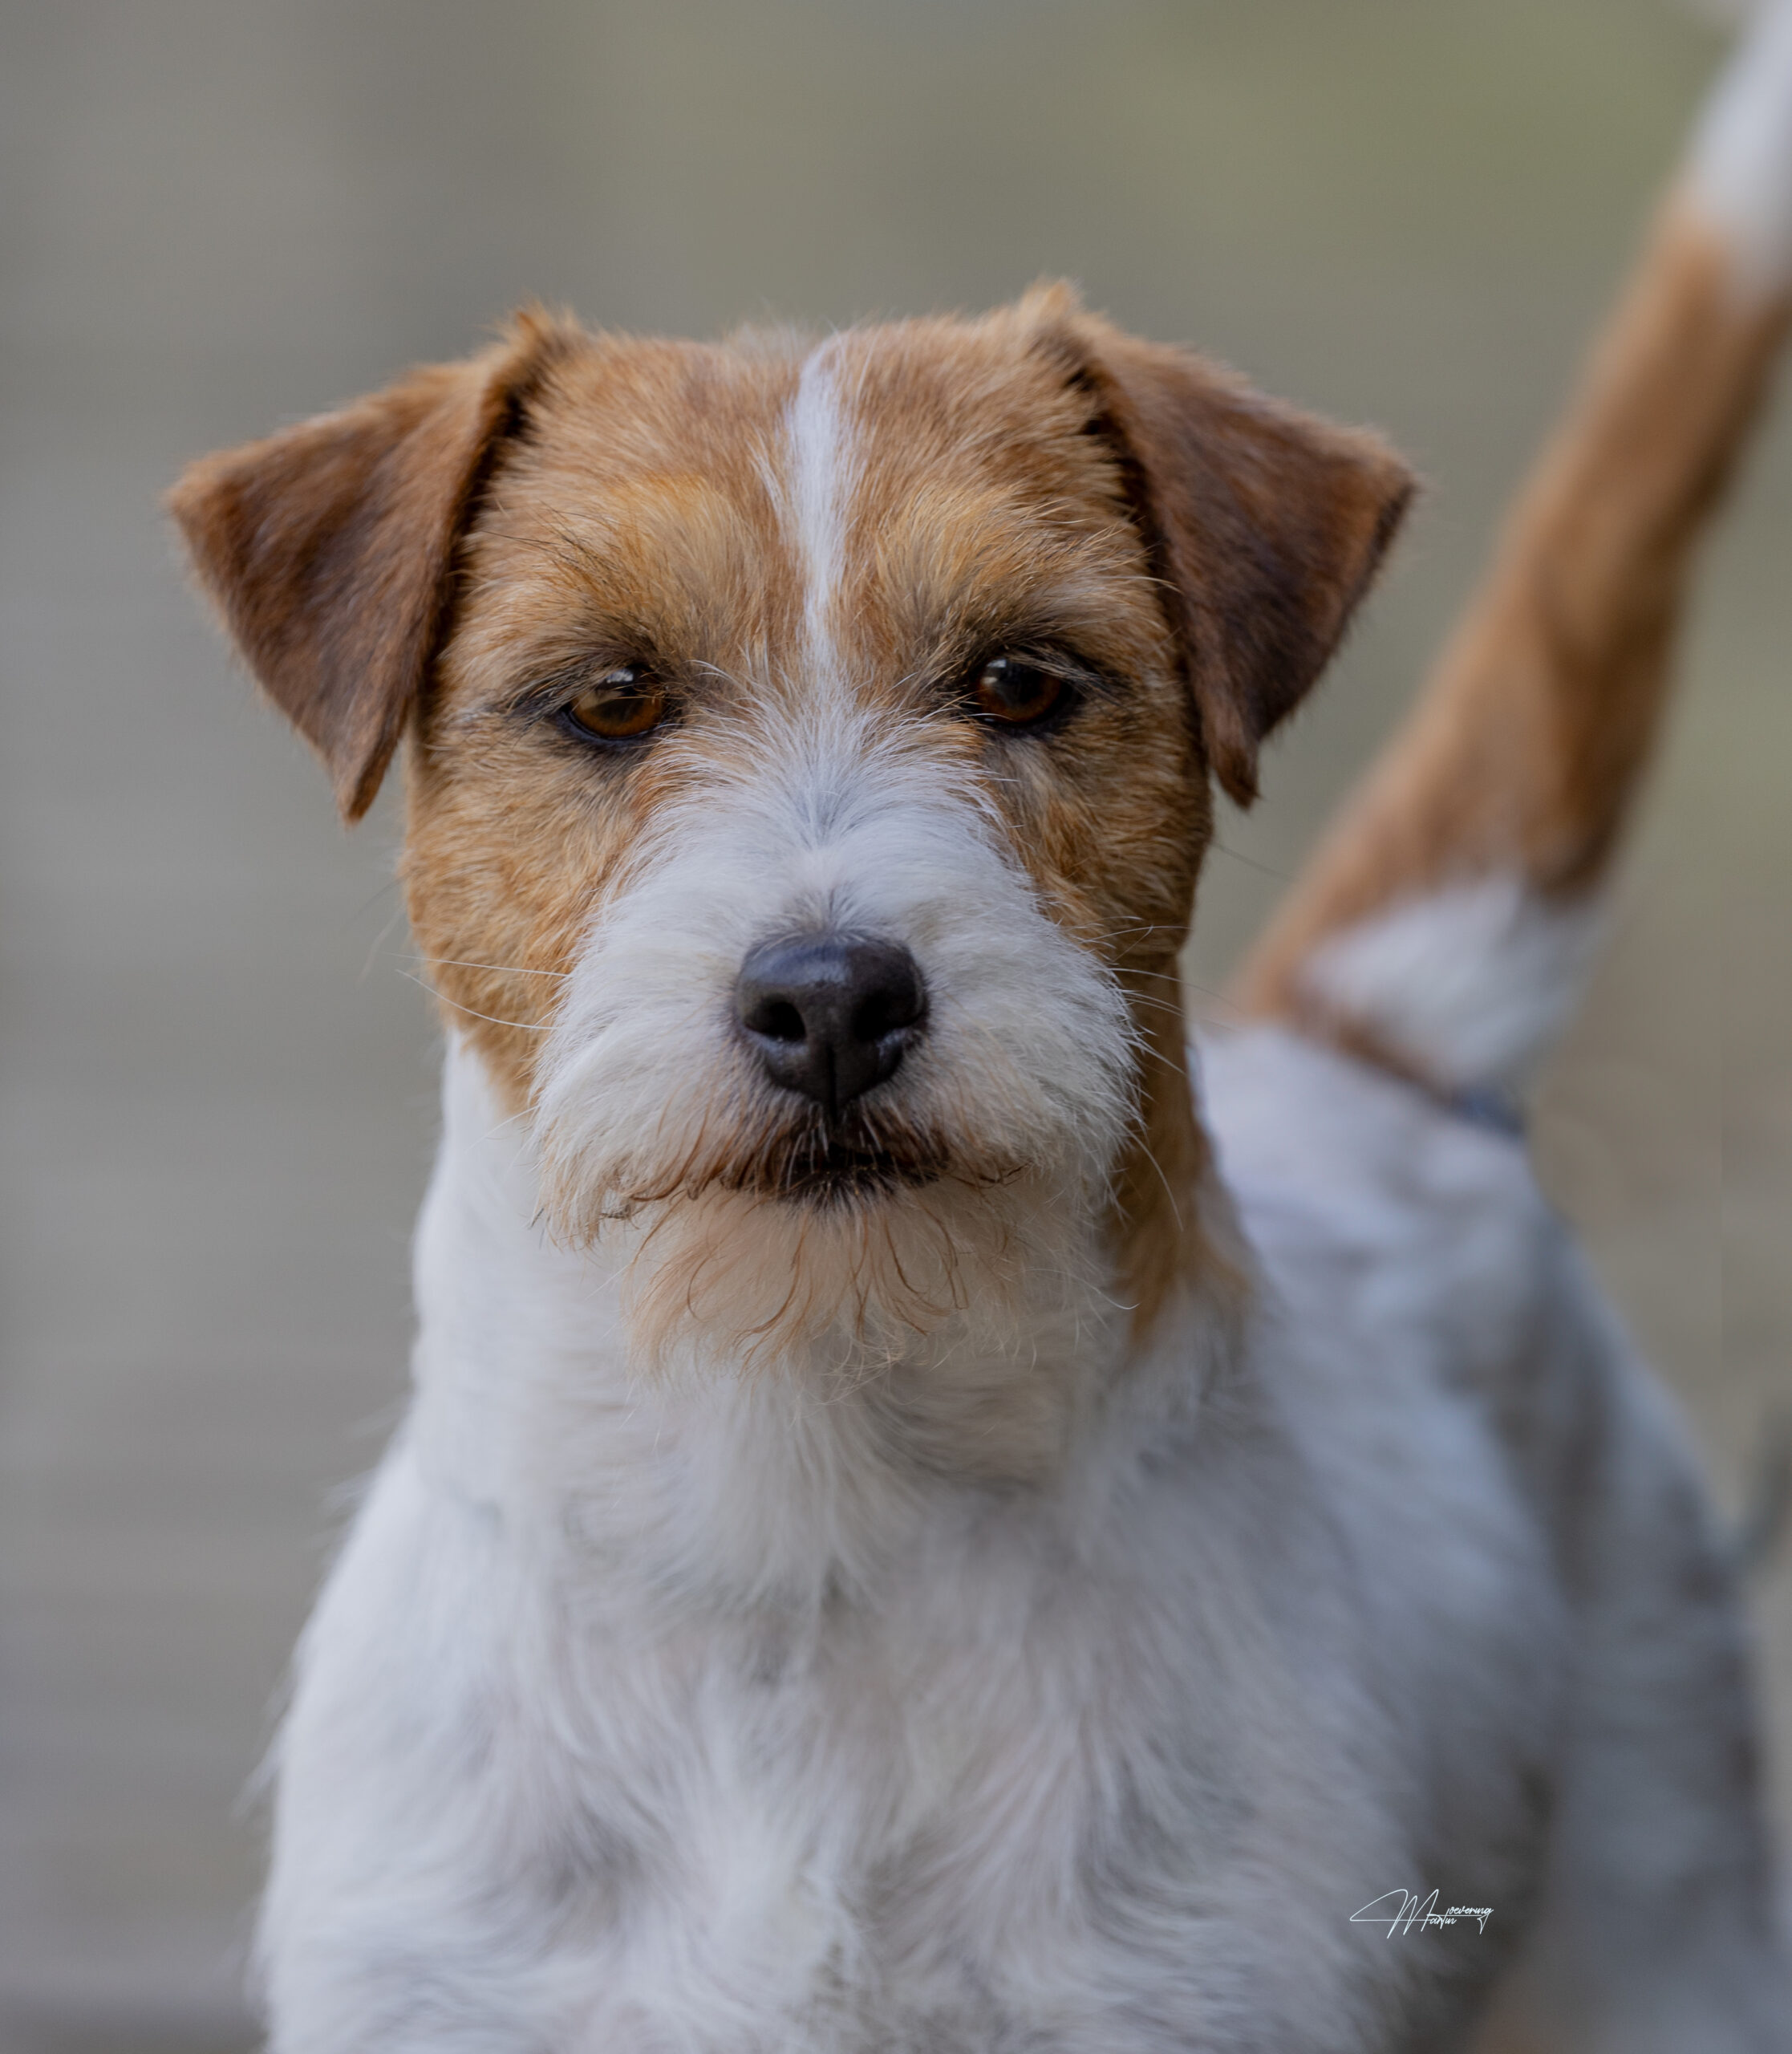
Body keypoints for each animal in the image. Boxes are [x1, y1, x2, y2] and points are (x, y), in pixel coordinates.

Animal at [171, 9, 1792, 2049]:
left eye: (1022, 678)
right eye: (610, 695)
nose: (829, 997)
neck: (807, 1529)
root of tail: (1380, 1063)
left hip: (1672, 1932)